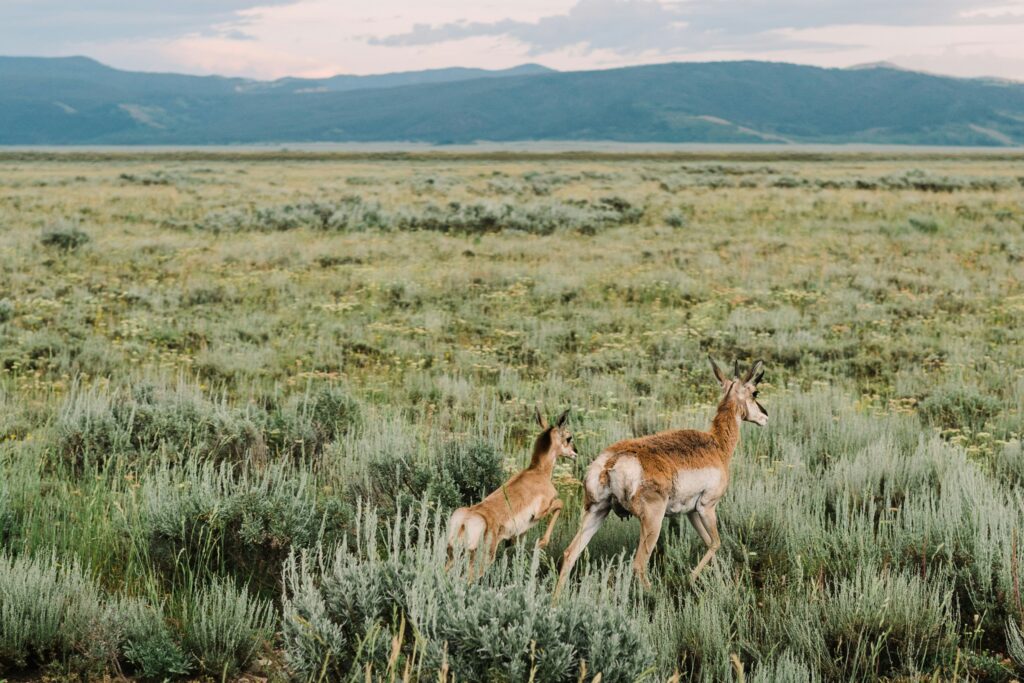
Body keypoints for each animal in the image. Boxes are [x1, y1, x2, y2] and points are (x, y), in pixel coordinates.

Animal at [446, 408, 577, 577]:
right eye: (569, 437)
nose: (575, 453)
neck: (537, 471)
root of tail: (466, 518)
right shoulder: (541, 512)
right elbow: (560, 503)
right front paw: (541, 543)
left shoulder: (520, 534)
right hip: (482, 560)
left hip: (453, 557)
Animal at [554, 357, 766, 596]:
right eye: (755, 392)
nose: (765, 416)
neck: (716, 444)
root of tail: (611, 461)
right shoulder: (707, 507)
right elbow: (716, 542)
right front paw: (690, 578)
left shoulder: (691, 512)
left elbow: (709, 542)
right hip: (652, 521)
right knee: (639, 564)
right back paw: (657, 595)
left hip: (597, 511)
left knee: (570, 554)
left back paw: (556, 601)